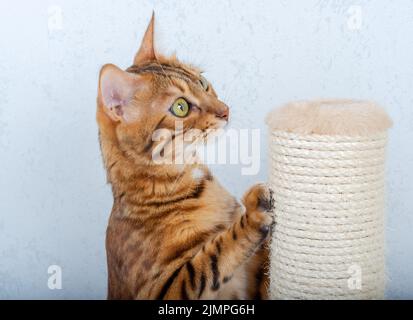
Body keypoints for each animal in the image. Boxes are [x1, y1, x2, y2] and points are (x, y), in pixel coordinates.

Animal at [96, 14, 274, 300]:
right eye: (181, 107)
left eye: (202, 82)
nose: (225, 111)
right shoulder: (163, 288)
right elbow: (213, 255)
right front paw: (254, 216)